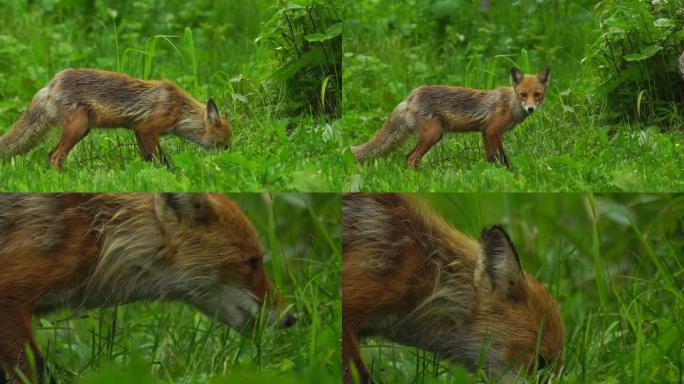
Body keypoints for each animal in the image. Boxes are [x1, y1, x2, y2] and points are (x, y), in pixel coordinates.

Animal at [0, 69, 232, 171]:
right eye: (224, 143)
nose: (228, 157)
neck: (179, 110)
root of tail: (51, 84)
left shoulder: (138, 130)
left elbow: (147, 158)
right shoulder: (149, 128)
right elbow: (161, 158)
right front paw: (170, 174)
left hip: (82, 128)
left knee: (52, 155)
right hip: (79, 127)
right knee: (54, 156)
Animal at [352, 67, 552, 170]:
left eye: (537, 94)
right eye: (523, 94)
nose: (531, 108)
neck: (510, 104)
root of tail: (410, 97)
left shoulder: (485, 132)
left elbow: (490, 158)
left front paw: (491, 173)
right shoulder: (493, 131)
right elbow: (501, 157)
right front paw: (508, 173)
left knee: (408, 157)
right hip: (434, 134)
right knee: (410, 158)